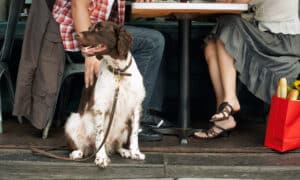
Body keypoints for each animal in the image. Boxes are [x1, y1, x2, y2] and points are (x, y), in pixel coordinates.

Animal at [64, 21, 146, 168]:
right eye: (89, 28)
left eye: (99, 28)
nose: (76, 35)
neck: (119, 71)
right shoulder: (100, 108)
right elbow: (100, 134)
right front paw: (101, 158)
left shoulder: (136, 106)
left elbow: (135, 133)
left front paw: (135, 152)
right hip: (72, 121)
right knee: (82, 146)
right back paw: (77, 153)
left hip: (125, 127)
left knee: (116, 145)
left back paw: (125, 151)